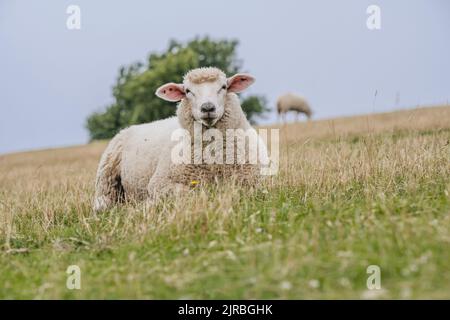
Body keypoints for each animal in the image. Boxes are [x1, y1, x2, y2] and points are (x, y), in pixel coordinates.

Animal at [92, 66, 268, 211]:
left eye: (224, 87)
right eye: (188, 91)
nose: (207, 107)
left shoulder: (252, 181)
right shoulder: (160, 183)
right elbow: (188, 193)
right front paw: (148, 204)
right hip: (106, 175)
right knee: (103, 201)